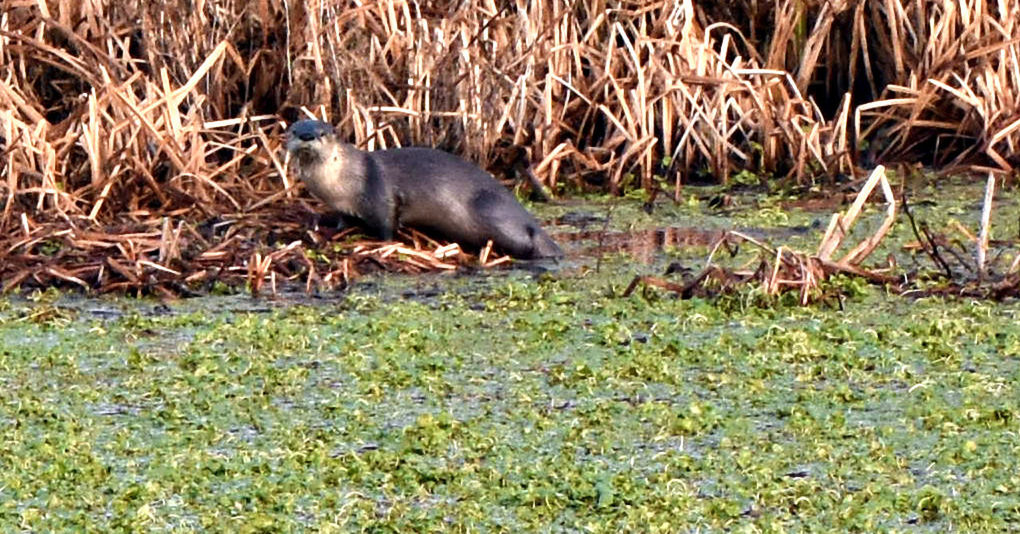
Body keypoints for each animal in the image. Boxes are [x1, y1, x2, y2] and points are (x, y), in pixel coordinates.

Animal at [283, 118, 563, 258]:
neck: (343, 182)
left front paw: (381, 244)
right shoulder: (342, 206)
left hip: (491, 210)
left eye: (321, 133)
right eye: (295, 130)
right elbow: (343, 220)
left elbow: (386, 224)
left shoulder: (378, 193)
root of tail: (532, 222)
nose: (306, 136)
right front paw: (332, 230)